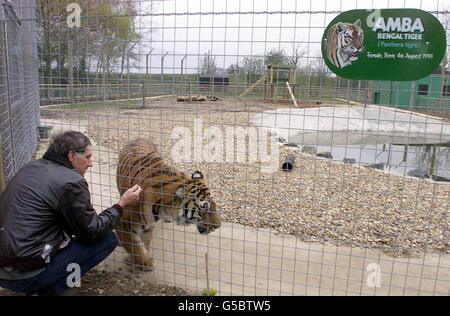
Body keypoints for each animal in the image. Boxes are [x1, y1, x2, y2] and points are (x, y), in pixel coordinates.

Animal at [116, 137, 221, 270]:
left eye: (214, 206)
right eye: (204, 209)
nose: (218, 226)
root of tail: (140, 137)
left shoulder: (149, 225)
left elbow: (145, 242)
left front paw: (145, 258)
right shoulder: (123, 222)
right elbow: (135, 248)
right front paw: (145, 262)